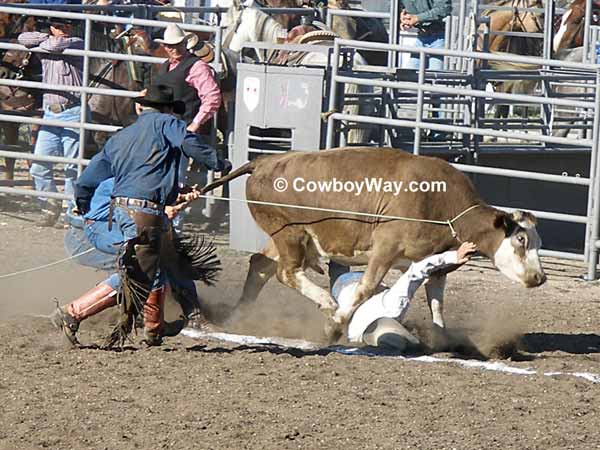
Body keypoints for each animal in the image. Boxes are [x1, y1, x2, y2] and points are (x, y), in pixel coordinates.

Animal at [199, 148, 548, 342]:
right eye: (520, 239)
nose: (539, 278)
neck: (440, 203)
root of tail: (263, 162)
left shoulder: (436, 263)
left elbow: (437, 301)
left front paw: (442, 339)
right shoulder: (385, 247)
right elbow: (365, 288)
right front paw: (334, 327)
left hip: (286, 236)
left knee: (261, 265)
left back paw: (239, 316)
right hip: (290, 233)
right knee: (287, 272)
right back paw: (327, 303)